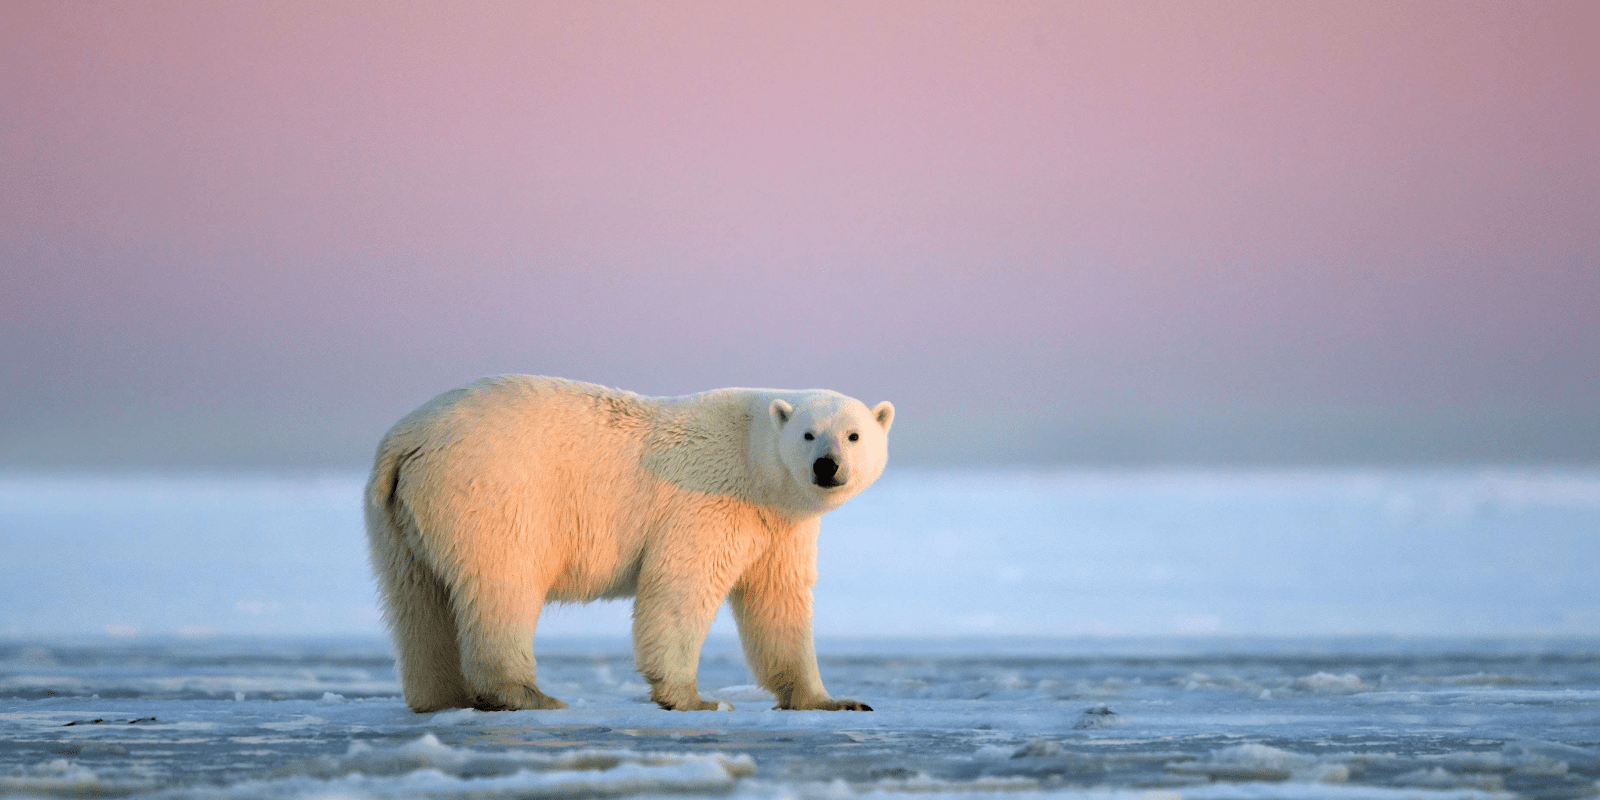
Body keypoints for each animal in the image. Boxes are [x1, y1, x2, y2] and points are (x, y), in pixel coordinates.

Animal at [364, 374, 896, 713]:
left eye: (853, 435)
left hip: (397, 518)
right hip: (488, 492)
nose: (827, 465)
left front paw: (834, 701)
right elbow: (680, 588)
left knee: (416, 601)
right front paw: (696, 700)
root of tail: (404, 441)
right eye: (808, 434)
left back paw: (441, 698)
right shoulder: (708, 502)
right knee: (502, 585)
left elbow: (779, 603)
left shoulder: (779, 527)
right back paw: (527, 694)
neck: (753, 458)